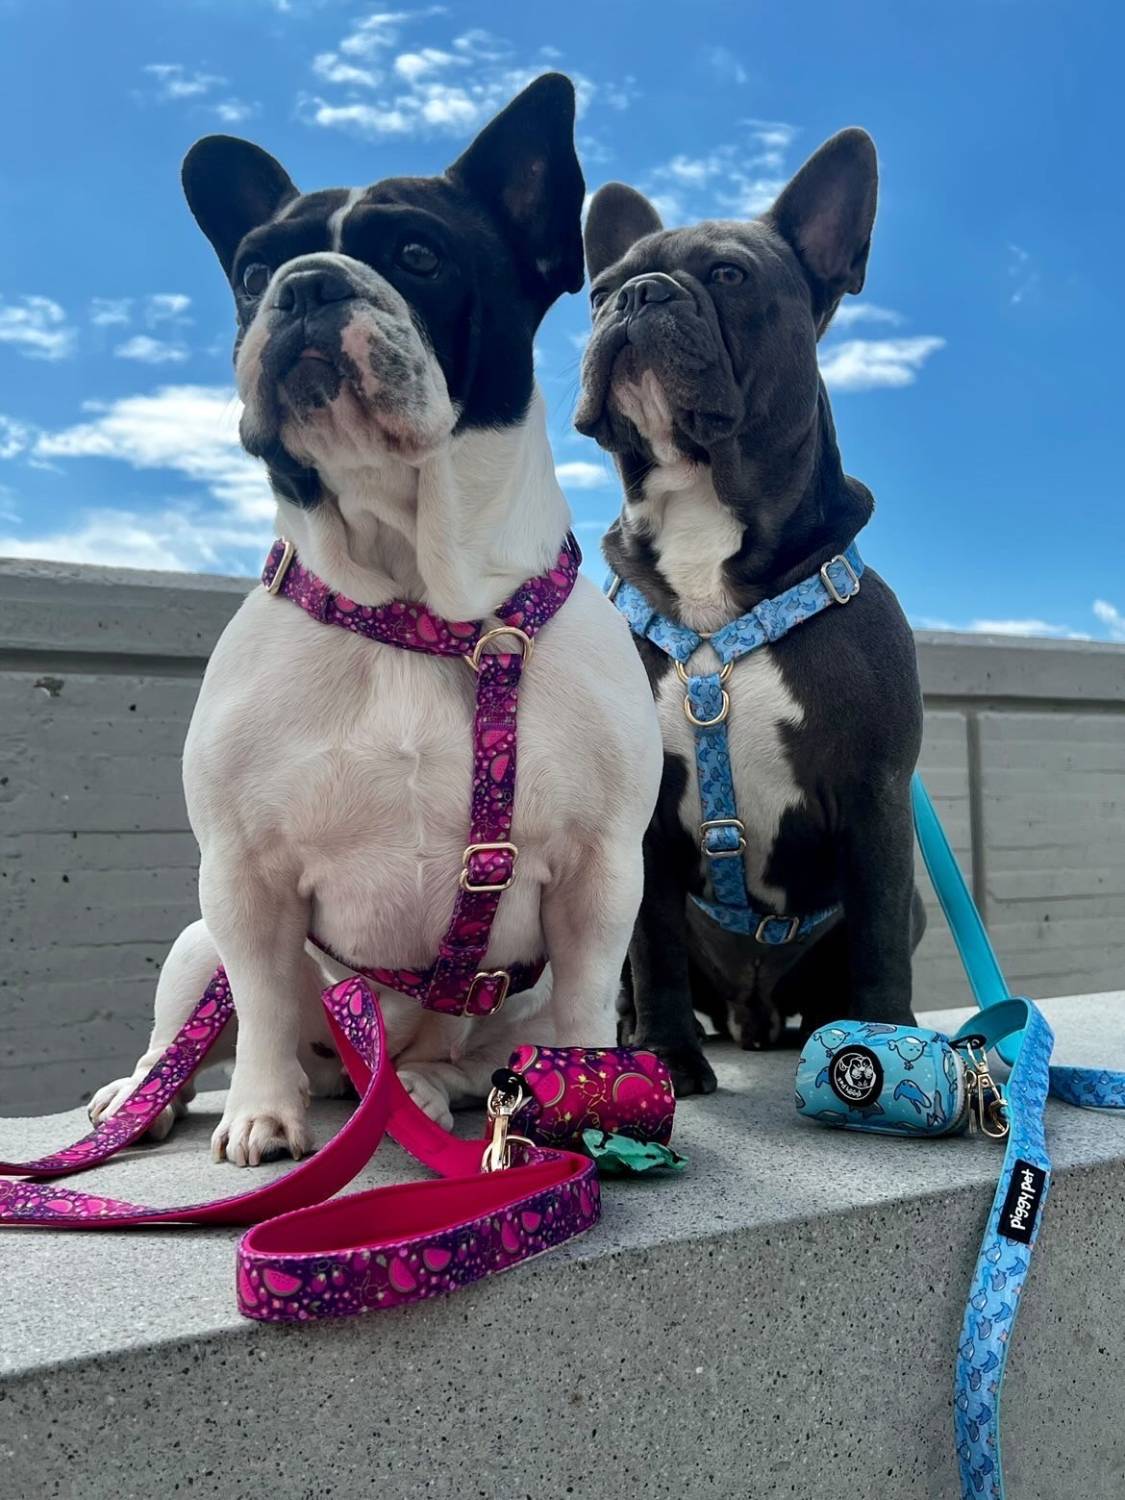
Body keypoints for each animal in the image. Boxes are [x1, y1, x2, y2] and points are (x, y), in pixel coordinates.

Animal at [88, 74, 661, 1164]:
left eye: (420, 256)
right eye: (253, 270)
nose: (308, 283)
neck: (415, 602)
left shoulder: (601, 872)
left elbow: (587, 1005)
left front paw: (589, 1101)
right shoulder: (244, 875)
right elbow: (265, 1001)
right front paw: (259, 1114)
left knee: (468, 1060)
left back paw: (426, 1094)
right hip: (192, 945)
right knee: (193, 1033)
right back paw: (147, 1095)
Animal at [576, 128, 925, 1096]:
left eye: (728, 275)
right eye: (597, 290)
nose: (638, 295)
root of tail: (752, 1009)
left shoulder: (876, 795)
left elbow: (878, 938)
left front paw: (887, 1044)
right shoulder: (644, 828)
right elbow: (653, 947)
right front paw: (663, 1056)